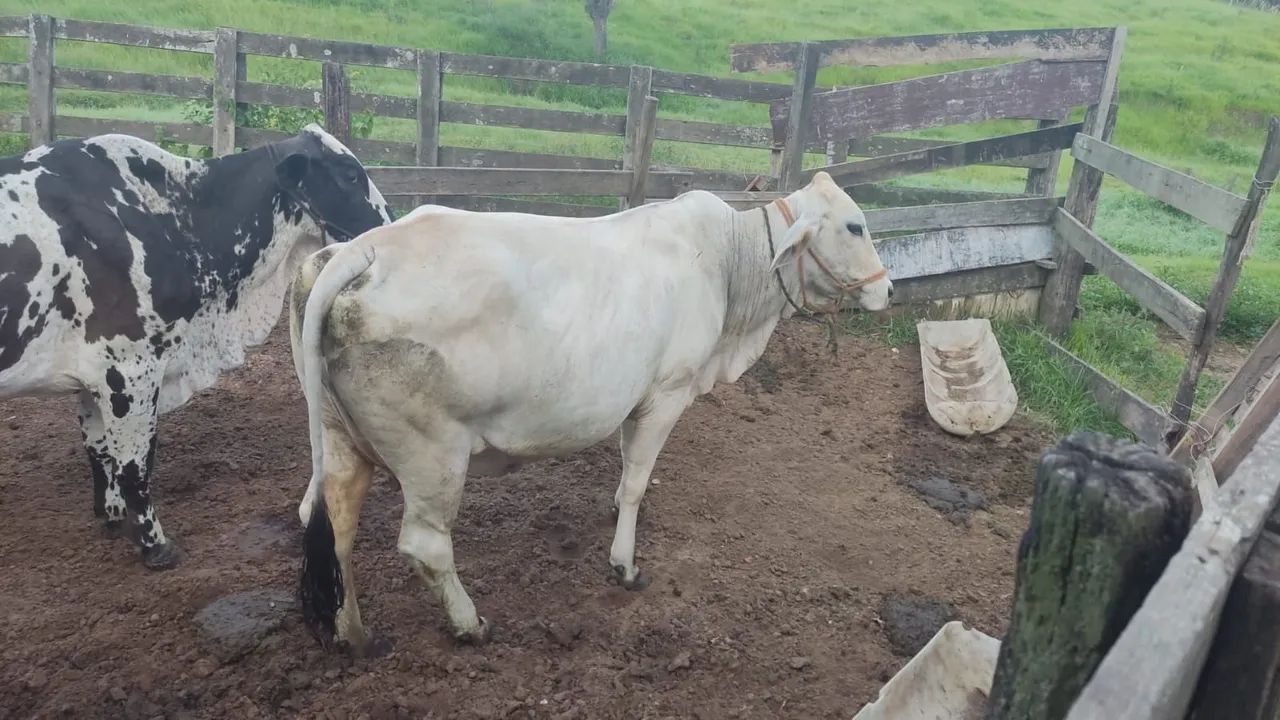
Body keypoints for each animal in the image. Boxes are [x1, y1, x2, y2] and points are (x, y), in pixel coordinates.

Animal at [0, 124, 392, 569]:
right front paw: (155, 545)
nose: (389, 222)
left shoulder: (94, 375)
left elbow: (100, 451)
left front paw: (112, 515)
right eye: (350, 174)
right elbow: (135, 463)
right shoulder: (128, 368)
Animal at [289, 171, 892, 655]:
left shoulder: (635, 399)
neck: (727, 264)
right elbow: (638, 482)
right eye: (855, 227)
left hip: (339, 439)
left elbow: (627, 469)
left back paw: (355, 634)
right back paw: (469, 623)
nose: (887, 289)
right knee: (426, 546)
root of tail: (365, 249)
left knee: (337, 527)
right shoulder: (668, 394)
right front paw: (625, 564)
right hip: (432, 455)